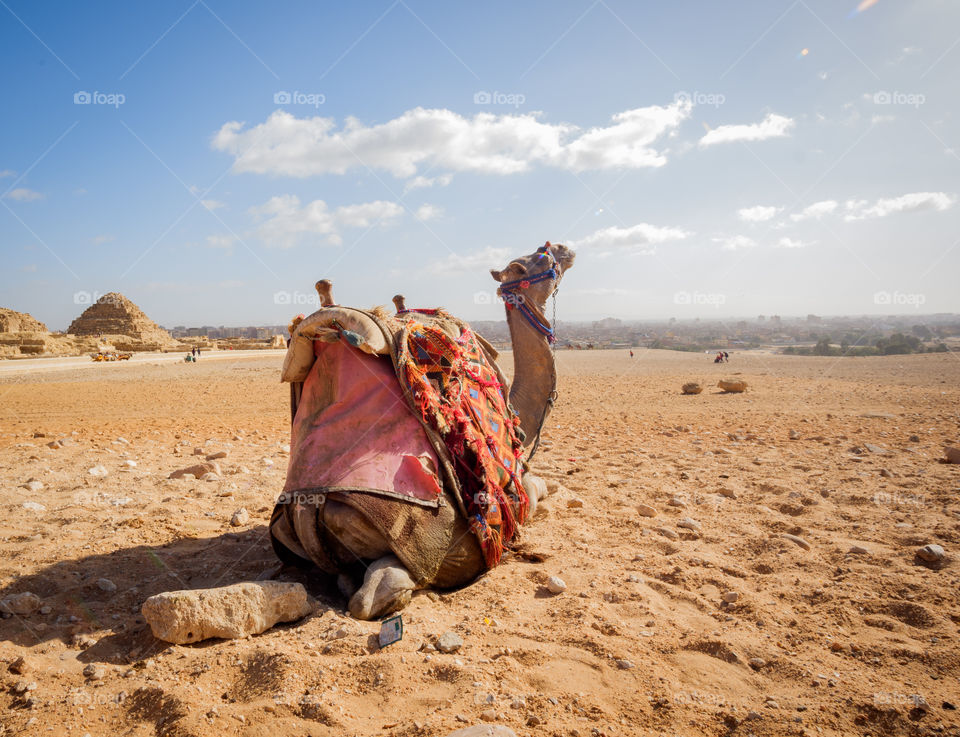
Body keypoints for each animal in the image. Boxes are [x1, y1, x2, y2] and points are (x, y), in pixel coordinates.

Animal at [269, 242, 575, 619]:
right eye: (540, 257)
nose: (564, 249)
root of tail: (308, 505)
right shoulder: (519, 493)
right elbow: (538, 489)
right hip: (427, 541)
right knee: (374, 592)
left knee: (344, 579)